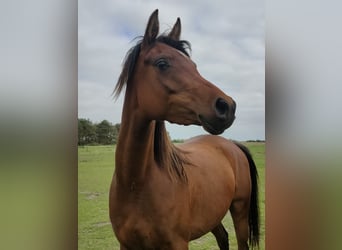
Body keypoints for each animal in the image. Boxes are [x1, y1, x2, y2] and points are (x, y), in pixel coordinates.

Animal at [109, 9, 260, 250]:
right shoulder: (126, 245)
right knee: (222, 237)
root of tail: (233, 145)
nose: (227, 106)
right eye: (162, 63)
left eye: (194, 66)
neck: (135, 185)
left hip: (240, 211)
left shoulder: (178, 243)